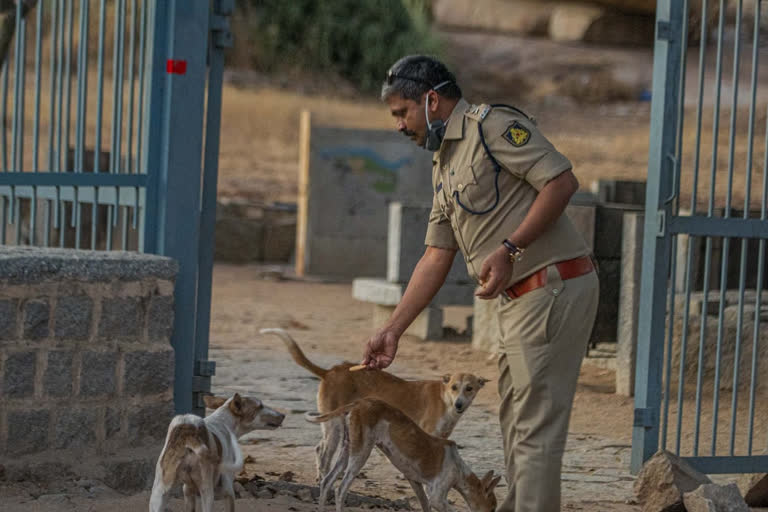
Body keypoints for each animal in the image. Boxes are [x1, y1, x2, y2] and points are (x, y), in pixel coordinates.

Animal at [258, 330, 486, 482]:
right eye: (455, 387)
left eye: (470, 388)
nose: (459, 404)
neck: (444, 397)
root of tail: (330, 371)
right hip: (335, 424)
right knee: (323, 452)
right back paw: (323, 479)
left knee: (318, 448)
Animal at [306, 400, 504, 512]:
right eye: (493, 507)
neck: (459, 470)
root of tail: (358, 403)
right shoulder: (437, 497)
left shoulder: (416, 483)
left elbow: (425, 507)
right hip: (360, 453)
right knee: (340, 490)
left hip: (347, 450)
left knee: (326, 482)